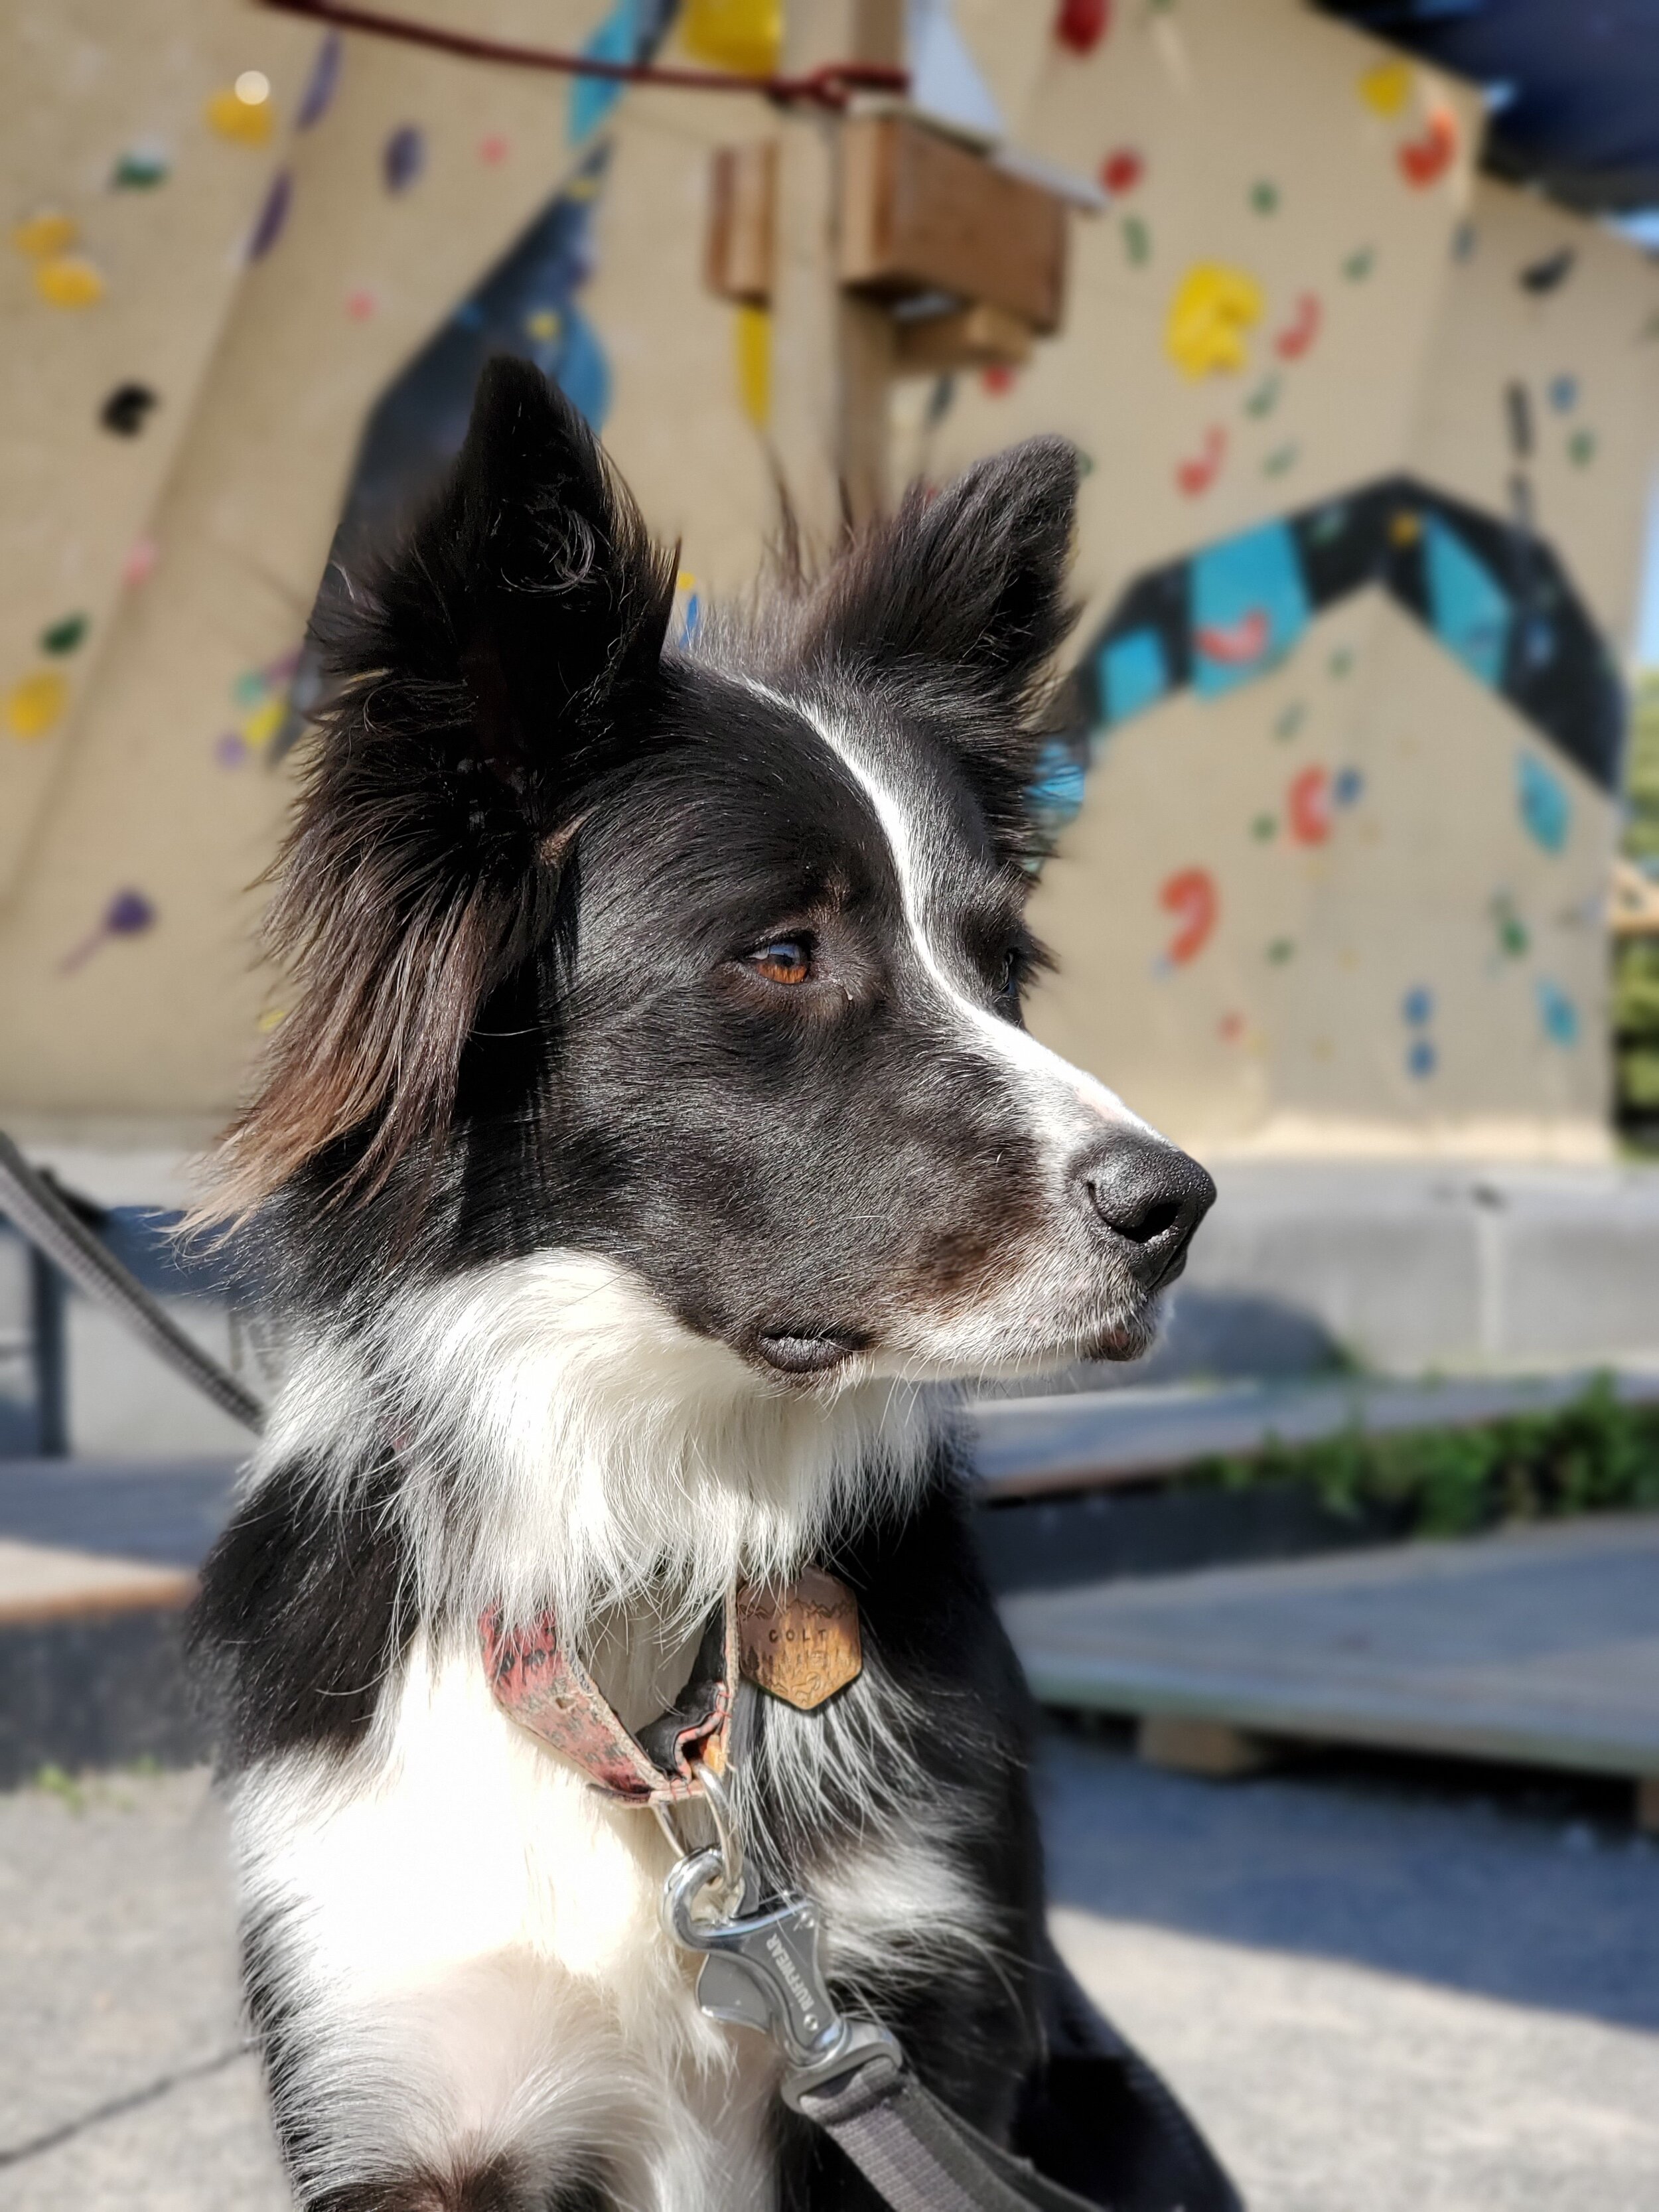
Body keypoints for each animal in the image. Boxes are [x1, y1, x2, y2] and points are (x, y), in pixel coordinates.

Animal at [198, 358, 1238, 2212]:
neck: (649, 1517)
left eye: (1000, 966)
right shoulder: (400, 2068)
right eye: (781, 953)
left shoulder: (918, 2025)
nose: (1175, 1206)